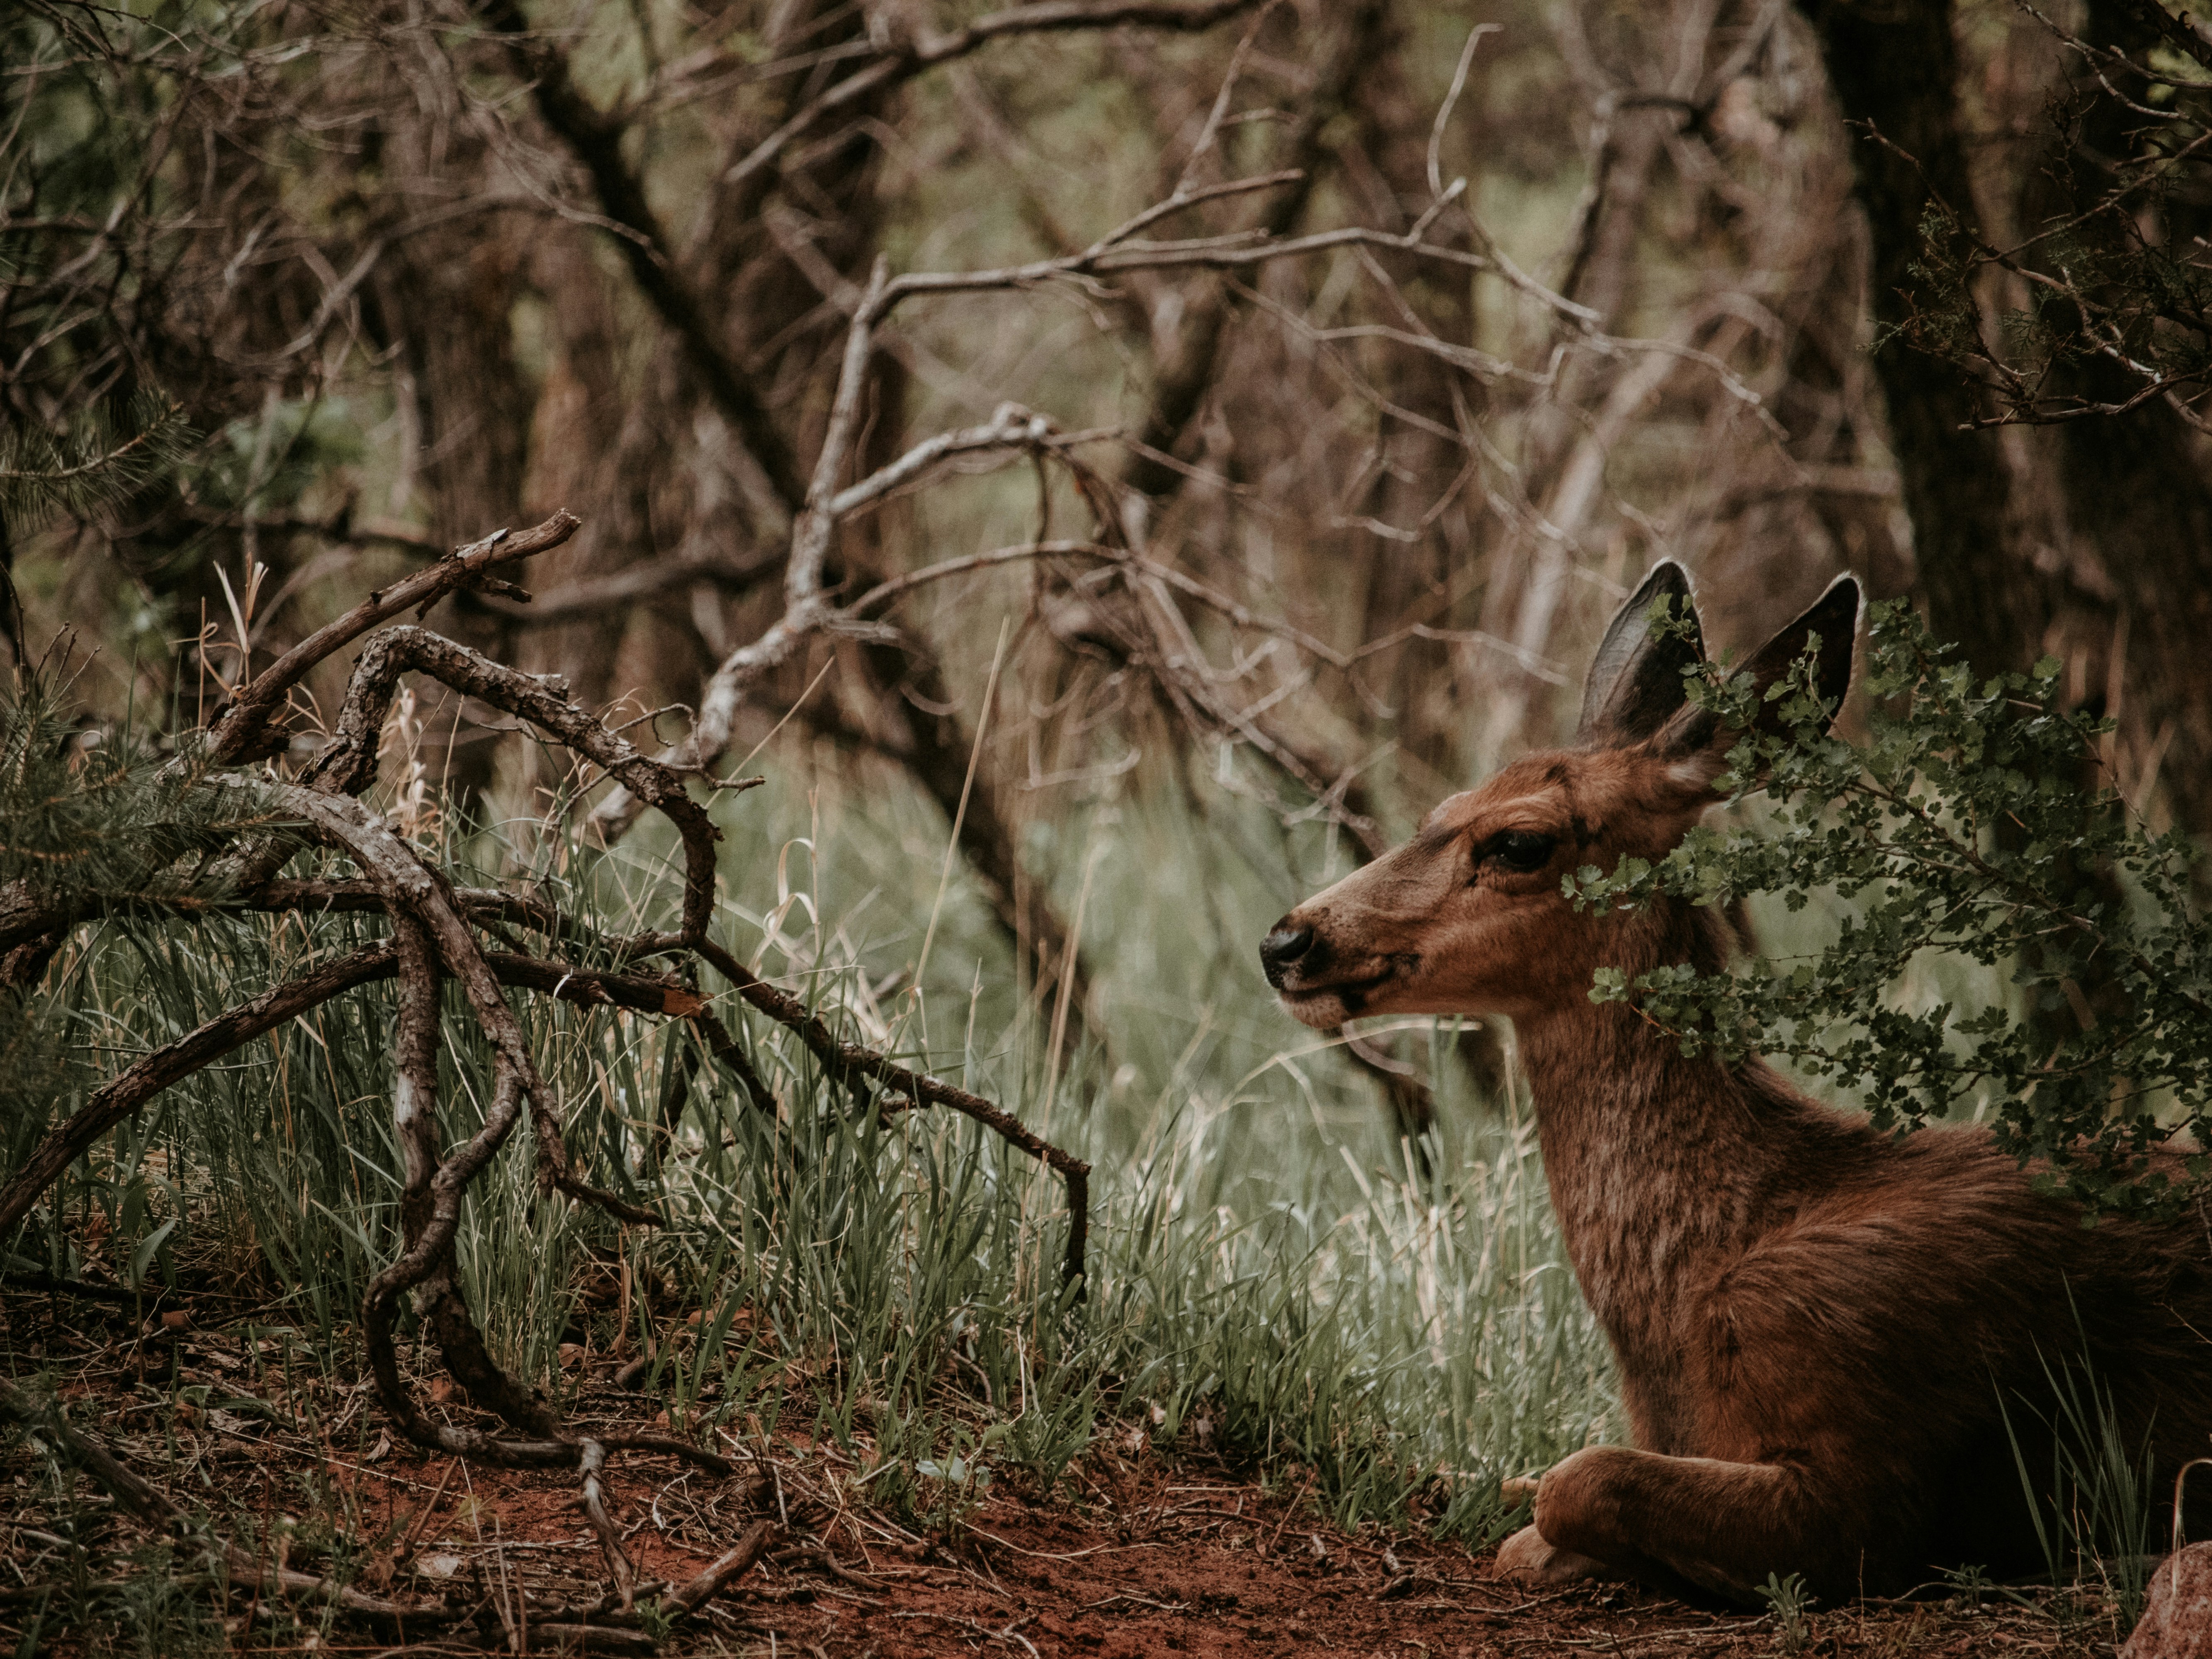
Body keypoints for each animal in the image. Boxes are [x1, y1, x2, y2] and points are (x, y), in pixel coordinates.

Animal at [1259, 563, 2212, 1604]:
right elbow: (1531, 1479)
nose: (1289, 941)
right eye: (1443, 806)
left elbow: (1579, 1480)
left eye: (1518, 842)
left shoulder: (1864, 1470)